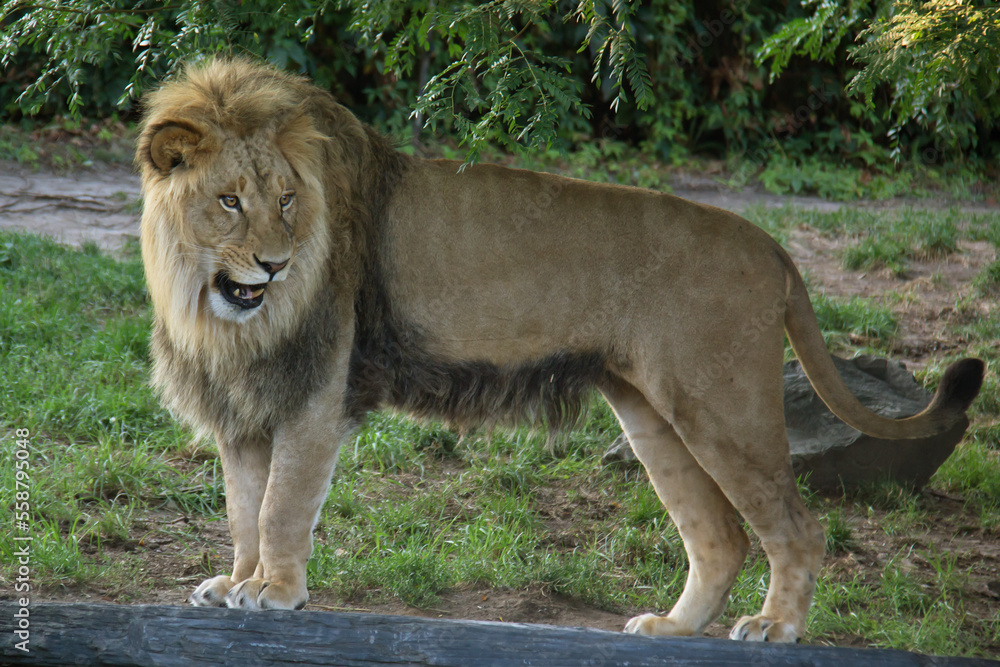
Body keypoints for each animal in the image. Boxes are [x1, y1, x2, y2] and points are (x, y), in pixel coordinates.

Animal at [137, 58, 983, 643]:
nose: (275, 264)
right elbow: (243, 506)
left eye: (286, 201)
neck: (222, 311)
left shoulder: (318, 388)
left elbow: (281, 505)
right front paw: (235, 582)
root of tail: (772, 243)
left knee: (795, 528)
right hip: (652, 415)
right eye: (229, 201)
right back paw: (674, 629)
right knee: (720, 537)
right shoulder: (245, 403)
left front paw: (275, 590)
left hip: (724, 407)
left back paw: (775, 627)